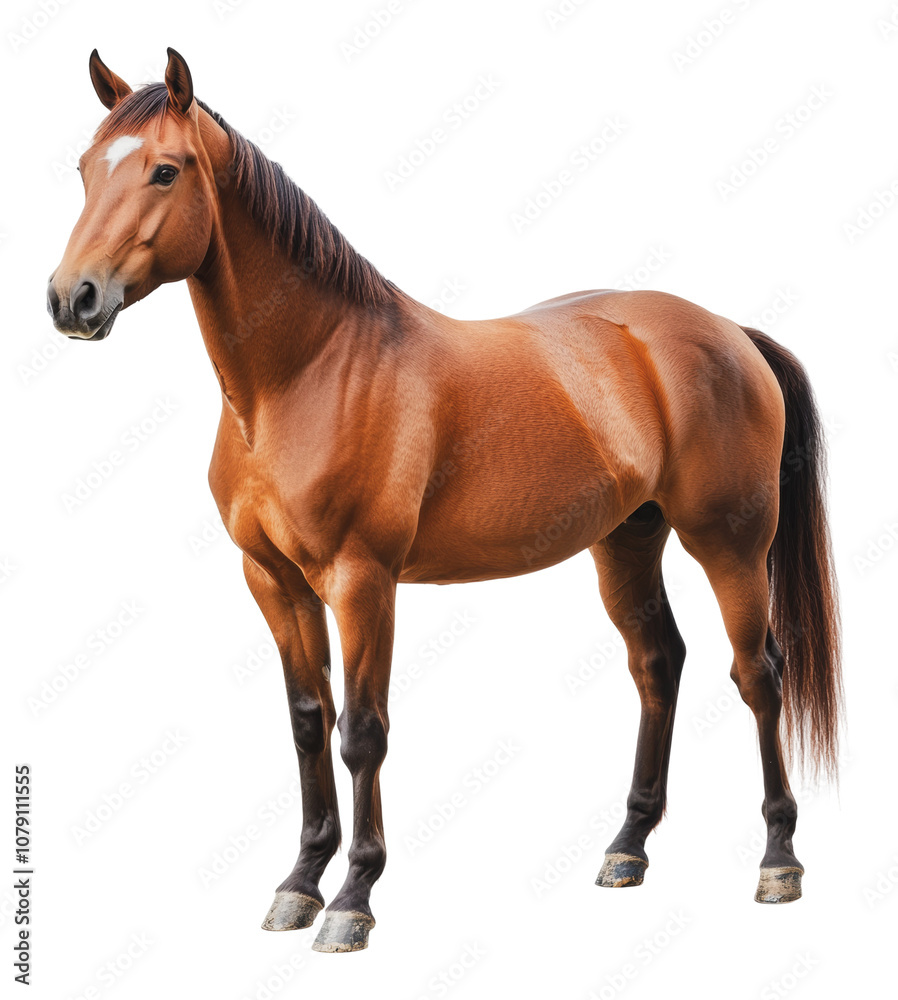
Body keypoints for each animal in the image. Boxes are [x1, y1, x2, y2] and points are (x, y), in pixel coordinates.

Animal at [47, 48, 842, 952]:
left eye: (165, 170)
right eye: (84, 169)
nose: (72, 299)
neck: (308, 373)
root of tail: (731, 332)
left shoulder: (363, 583)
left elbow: (362, 733)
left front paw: (352, 900)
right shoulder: (273, 582)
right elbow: (307, 721)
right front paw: (299, 884)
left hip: (730, 545)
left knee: (759, 675)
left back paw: (779, 861)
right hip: (626, 541)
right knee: (658, 663)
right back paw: (627, 848)